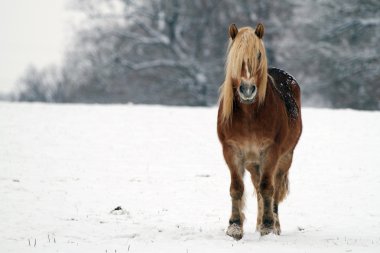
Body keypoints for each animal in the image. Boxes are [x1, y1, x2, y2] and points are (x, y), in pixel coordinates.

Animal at [217, 23, 302, 239]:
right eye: (236, 55)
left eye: (258, 55)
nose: (247, 90)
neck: (249, 115)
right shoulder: (231, 151)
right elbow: (237, 188)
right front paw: (235, 227)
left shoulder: (270, 151)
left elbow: (267, 188)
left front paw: (268, 226)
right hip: (253, 162)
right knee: (257, 186)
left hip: (284, 158)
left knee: (274, 187)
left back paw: (275, 225)